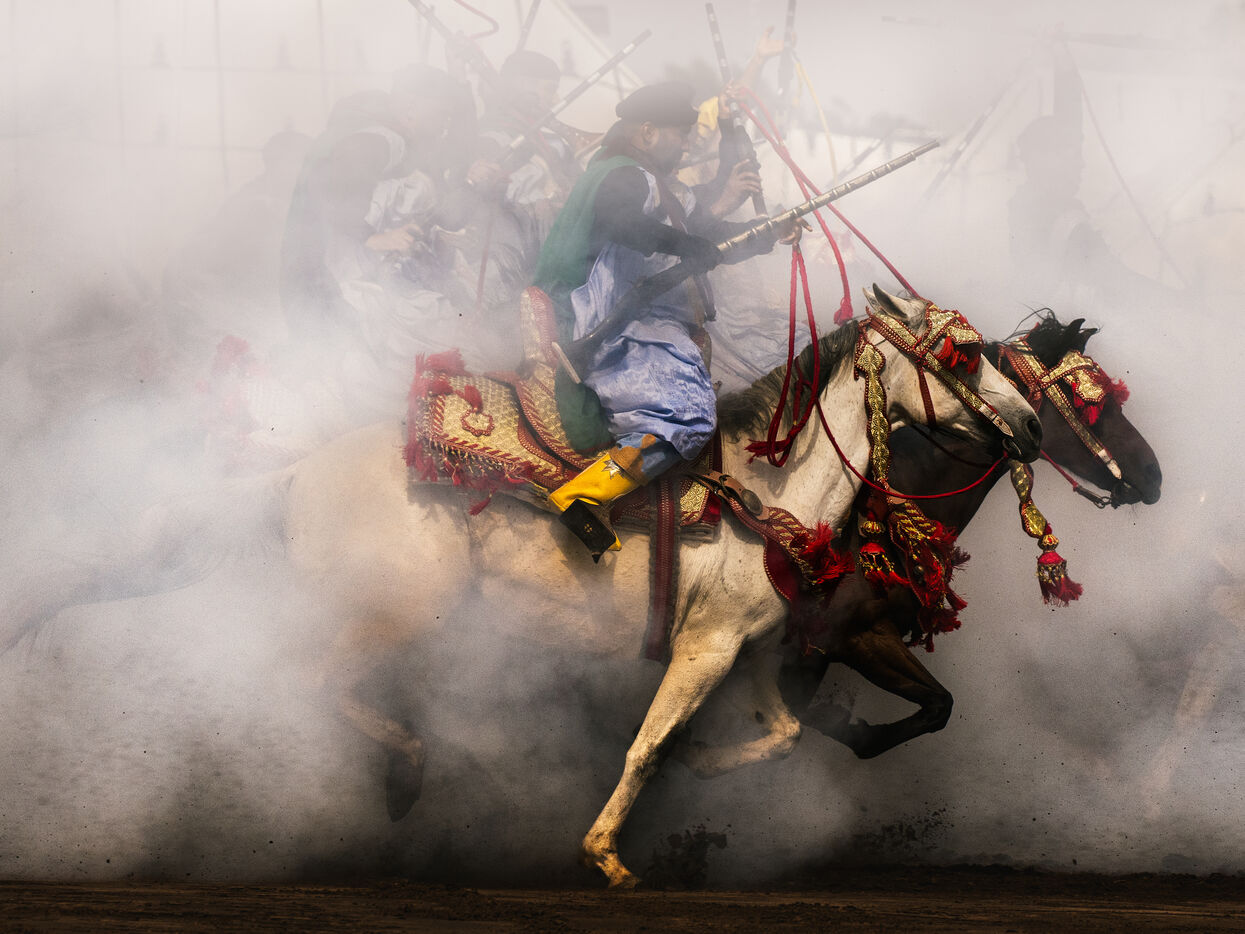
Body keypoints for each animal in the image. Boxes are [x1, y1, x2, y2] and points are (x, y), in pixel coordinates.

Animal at [1, 286, 1042, 889]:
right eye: (958, 355)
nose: (1030, 426)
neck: (768, 496)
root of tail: (296, 473)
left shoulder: (745, 646)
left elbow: (776, 732)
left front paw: (706, 772)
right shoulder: (706, 647)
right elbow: (647, 745)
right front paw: (604, 853)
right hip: (388, 615)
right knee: (310, 687)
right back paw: (402, 778)